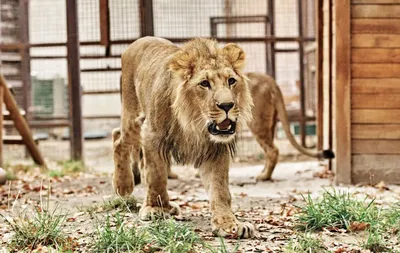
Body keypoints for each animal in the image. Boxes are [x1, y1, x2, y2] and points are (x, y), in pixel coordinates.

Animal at [112, 36, 255, 238]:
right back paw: (123, 187)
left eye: (231, 81)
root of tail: (138, 41)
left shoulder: (215, 147)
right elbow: (156, 174)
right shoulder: (152, 134)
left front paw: (229, 224)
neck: (194, 122)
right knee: (119, 138)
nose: (227, 105)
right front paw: (155, 209)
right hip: (133, 118)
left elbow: (220, 188)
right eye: (204, 83)